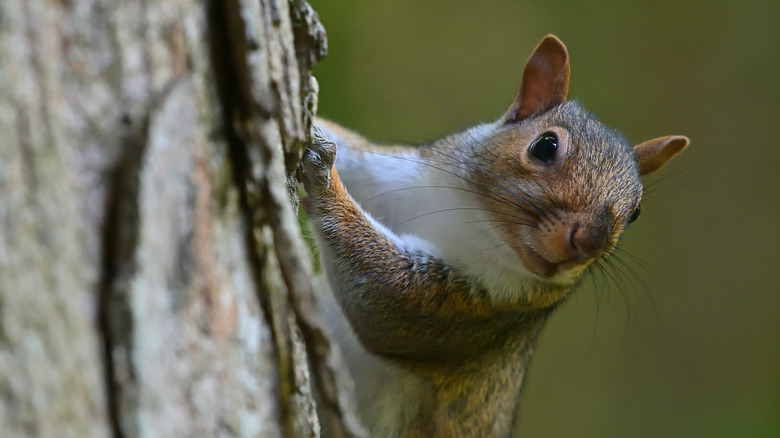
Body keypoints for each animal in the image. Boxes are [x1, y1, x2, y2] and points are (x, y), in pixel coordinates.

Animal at [298, 35, 688, 438]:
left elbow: (382, 297)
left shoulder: (479, 309)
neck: (472, 218)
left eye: (635, 212)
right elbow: (352, 151)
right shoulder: (390, 173)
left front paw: (324, 182)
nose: (589, 242)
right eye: (545, 145)